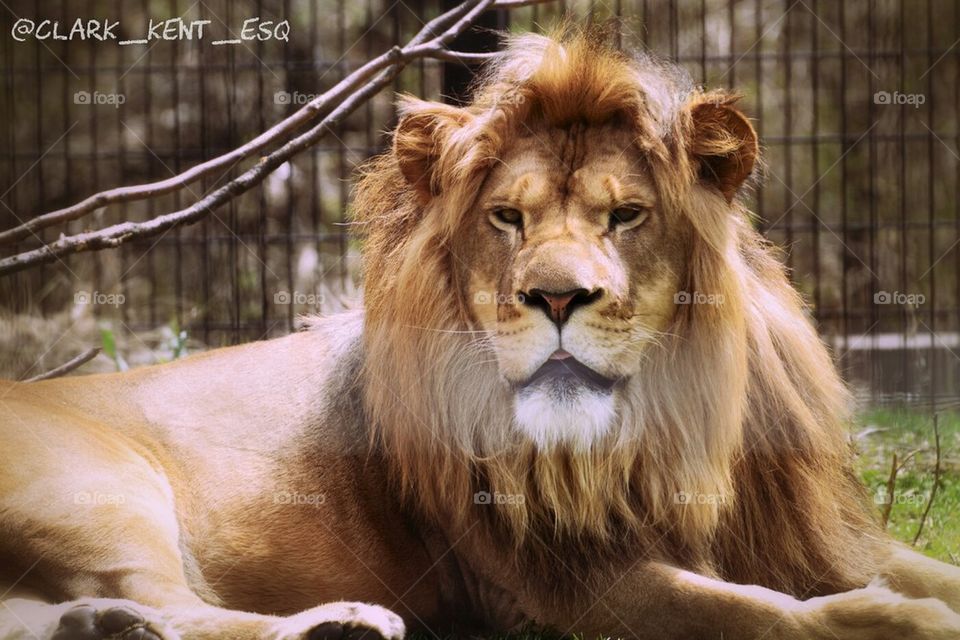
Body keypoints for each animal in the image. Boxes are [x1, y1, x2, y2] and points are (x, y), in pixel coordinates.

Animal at [2, 29, 960, 640]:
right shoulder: (568, 584)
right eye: (507, 218)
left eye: (625, 215)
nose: (557, 297)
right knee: (181, 610)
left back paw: (100, 626)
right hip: (99, 493)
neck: (665, 426)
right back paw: (335, 626)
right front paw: (897, 620)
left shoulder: (812, 535)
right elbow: (751, 612)